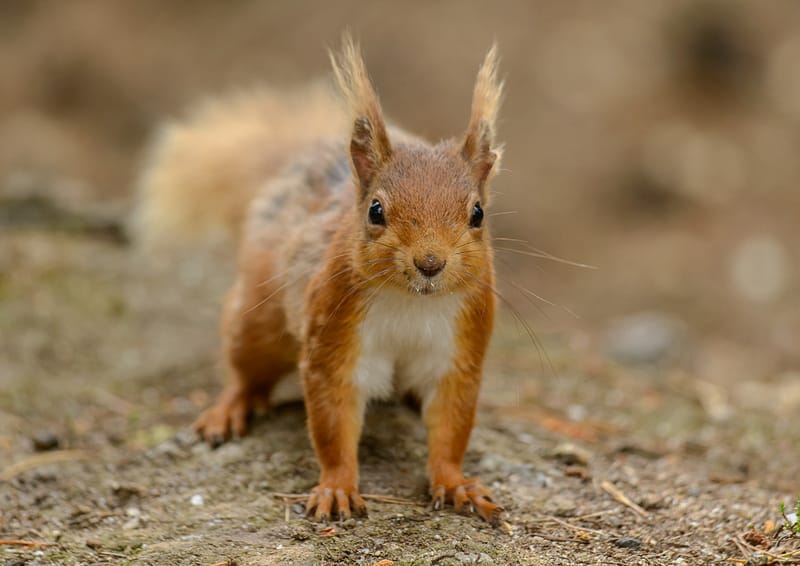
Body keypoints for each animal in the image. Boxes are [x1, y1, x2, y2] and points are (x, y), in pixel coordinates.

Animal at [135, 37, 505, 525]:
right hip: (257, 317)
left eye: (477, 213)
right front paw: (337, 487)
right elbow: (332, 423)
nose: (430, 263)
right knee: (246, 369)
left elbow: (451, 426)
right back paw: (228, 410)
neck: (411, 301)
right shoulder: (333, 336)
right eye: (375, 210)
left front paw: (456, 483)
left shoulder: (458, 351)